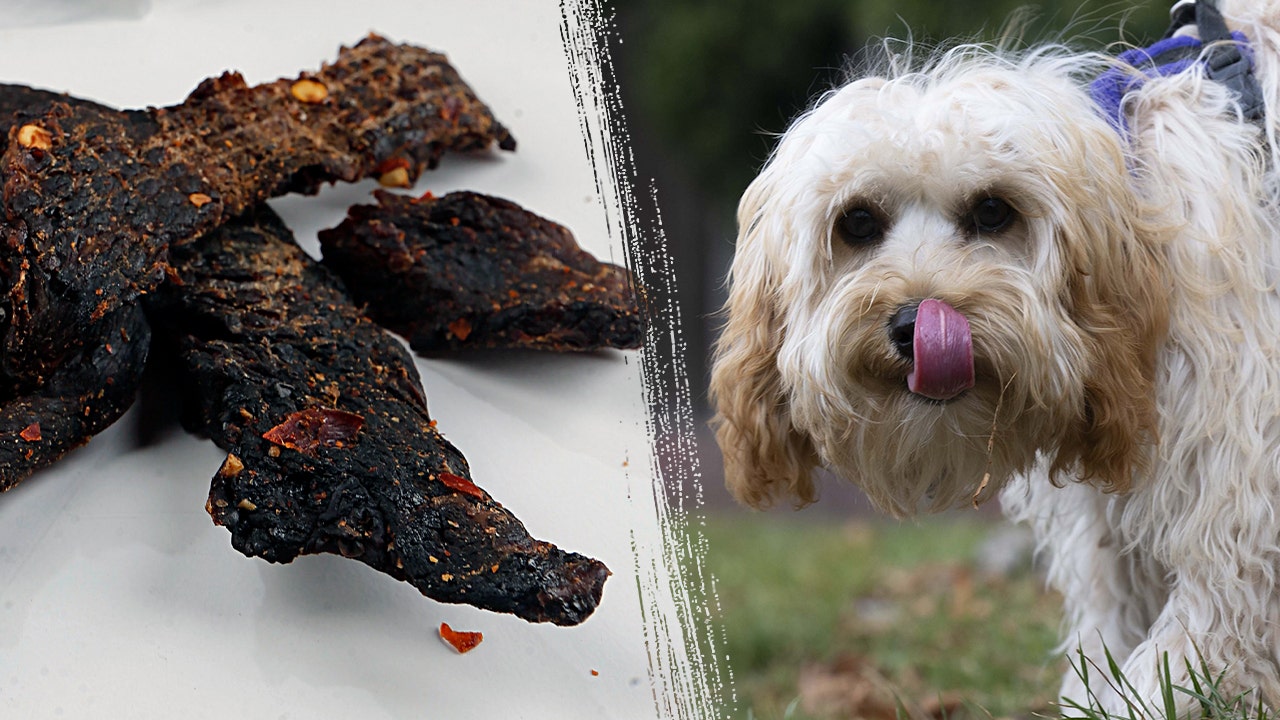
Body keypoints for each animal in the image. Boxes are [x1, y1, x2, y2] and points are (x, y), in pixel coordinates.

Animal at [711, 0, 1280, 707]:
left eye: (991, 211)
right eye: (858, 222)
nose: (915, 326)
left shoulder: (1239, 529)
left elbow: (1173, 668)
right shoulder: (1114, 552)